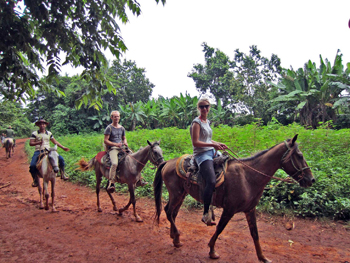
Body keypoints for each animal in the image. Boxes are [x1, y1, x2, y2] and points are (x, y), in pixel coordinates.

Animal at [154, 135, 316, 262]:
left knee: (173, 213)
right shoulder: (229, 209)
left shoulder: (250, 210)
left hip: (182, 194)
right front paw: (212, 251)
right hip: (176, 194)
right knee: (168, 211)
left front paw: (263, 257)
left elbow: (255, 233)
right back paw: (177, 238)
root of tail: (168, 162)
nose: (311, 180)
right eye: (300, 156)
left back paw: (174, 237)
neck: (248, 177)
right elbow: (220, 228)